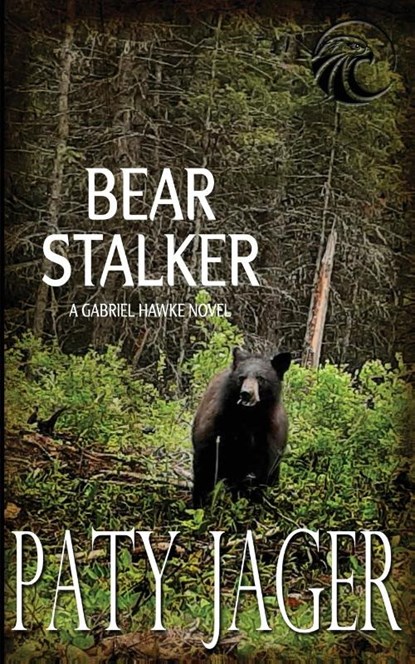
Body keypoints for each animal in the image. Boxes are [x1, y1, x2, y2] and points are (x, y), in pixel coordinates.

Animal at [192, 347, 292, 506]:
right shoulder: (218, 426)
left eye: (260, 378)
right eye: (242, 377)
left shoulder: (268, 436)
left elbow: (262, 471)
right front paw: (200, 502)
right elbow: (205, 463)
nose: (246, 394)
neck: (247, 417)